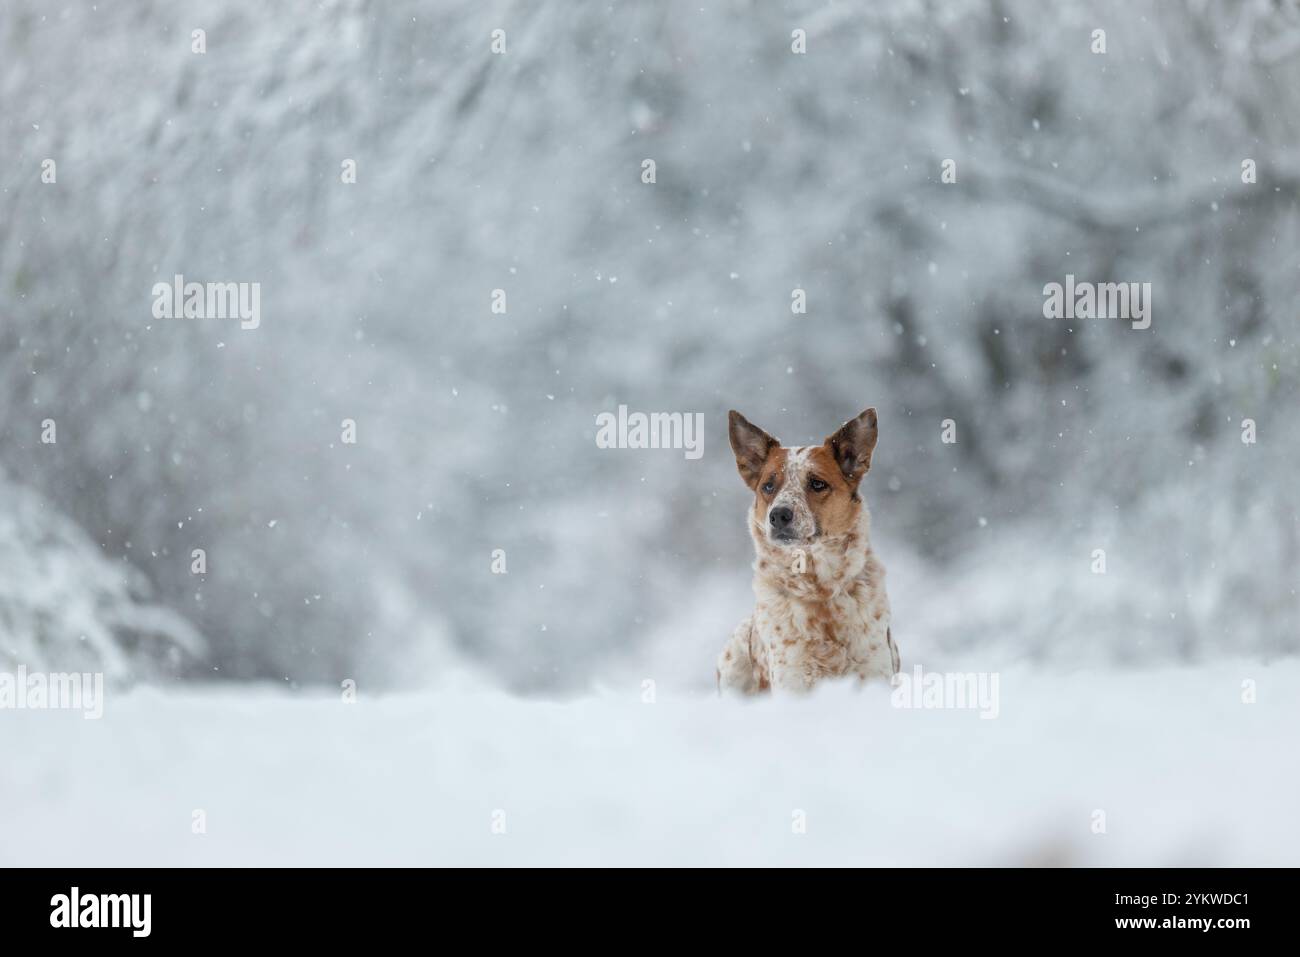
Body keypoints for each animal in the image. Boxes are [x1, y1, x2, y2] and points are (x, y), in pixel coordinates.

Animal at [717, 405, 899, 696]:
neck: (819, 590)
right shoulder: (792, 678)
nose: (778, 516)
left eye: (817, 484)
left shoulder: (874, 672)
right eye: (768, 486)